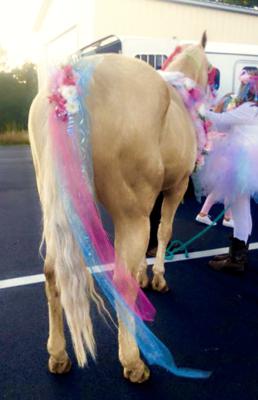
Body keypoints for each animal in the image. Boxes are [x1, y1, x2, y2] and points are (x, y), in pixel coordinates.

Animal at [28, 32, 210, 382]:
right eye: (210, 70)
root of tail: (75, 78)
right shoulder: (177, 187)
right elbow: (163, 231)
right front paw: (157, 278)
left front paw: (145, 275)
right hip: (130, 215)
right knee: (121, 281)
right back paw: (133, 360)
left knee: (52, 272)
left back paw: (58, 354)